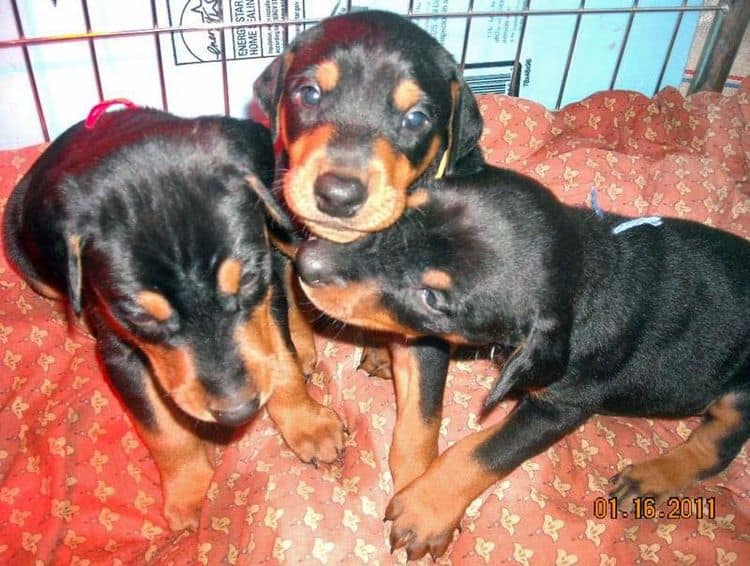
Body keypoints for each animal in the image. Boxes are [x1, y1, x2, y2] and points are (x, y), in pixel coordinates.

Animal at [3, 108, 346, 536]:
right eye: (139, 315)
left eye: (248, 278)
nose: (237, 412)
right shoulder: (118, 354)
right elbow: (164, 432)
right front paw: (190, 494)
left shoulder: (264, 294)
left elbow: (281, 361)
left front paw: (310, 426)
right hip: (23, 252)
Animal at [256, 10, 484, 492]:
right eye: (309, 93)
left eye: (416, 118)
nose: (338, 195)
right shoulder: (269, 262)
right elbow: (280, 356)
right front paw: (309, 426)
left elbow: (422, 417)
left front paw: (418, 490)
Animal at [296, 166, 750, 560]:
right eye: (407, 209)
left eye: (433, 298)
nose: (305, 262)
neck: (589, 267)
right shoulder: (425, 347)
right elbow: (419, 417)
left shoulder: (562, 406)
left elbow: (486, 450)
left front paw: (424, 510)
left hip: (739, 394)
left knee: (715, 448)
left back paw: (651, 477)